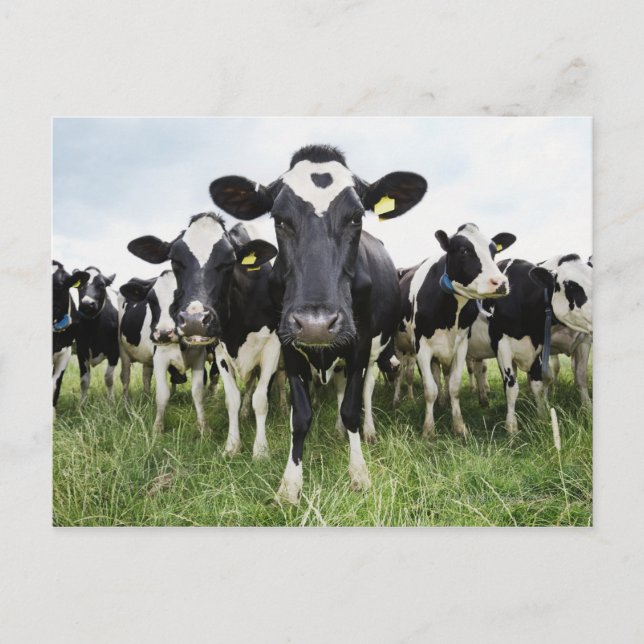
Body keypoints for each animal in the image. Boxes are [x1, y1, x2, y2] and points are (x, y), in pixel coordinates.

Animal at [73, 266, 120, 401]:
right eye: (80, 285)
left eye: (102, 285)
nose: (87, 304)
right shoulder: (81, 350)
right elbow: (84, 381)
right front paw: (82, 404)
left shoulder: (115, 351)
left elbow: (108, 378)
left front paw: (111, 402)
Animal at [118, 270, 210, 433]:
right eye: (151, 300)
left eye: (182, 297)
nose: (163, 333)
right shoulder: (160, 358)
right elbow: (162, 394)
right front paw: (158, 428)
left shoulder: (199, 357)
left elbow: (198, 393)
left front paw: (204, 427)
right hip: (123, 351)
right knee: (126, 377)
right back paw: (125, 403)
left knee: (146, 376)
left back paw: (147, 398)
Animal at [209, 144, 428, 504]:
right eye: (279, 219)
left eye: (356, 217)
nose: (316, 324)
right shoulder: (288, 344)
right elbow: (300, 415)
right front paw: (290, 484)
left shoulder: (359, 343)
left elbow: (351, 408)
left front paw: (359, 473)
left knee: (364, 392)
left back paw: (366, 432)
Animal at [396, 224, 516, 438]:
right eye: (463, 250)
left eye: (494, 251)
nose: (501, 282)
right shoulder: (421, 347)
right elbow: (429, 389)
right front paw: (429, 429)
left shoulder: (460, 346)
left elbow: (454, 386)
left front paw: (459, 426)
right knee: (401, 373)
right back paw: (398, 399)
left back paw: (442, 403)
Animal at [467, 253, 593, 433]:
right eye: (571, 286)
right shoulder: (502, 346)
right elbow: (511, 388)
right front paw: (511, 428)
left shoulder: (543, 347)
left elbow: (546, 383)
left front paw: (543, 418)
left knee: (479, 368)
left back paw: (483, 400)